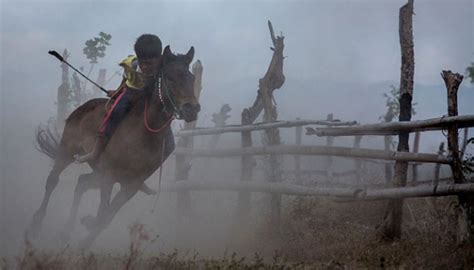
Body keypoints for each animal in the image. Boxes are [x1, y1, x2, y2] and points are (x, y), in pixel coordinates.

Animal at [29, 44, 200, 249]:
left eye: (192, 78)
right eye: (170, 77)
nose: (192, 109)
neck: (143, 135)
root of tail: (83, 107)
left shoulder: (130, 186)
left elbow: (106, 217)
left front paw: (86, 231)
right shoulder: (109, 177)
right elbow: (103, 213)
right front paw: (84, 240)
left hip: (97, 171)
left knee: (82, 183)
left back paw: (66, 231)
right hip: (68, 150)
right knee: (53, 180)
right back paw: (36, 225)